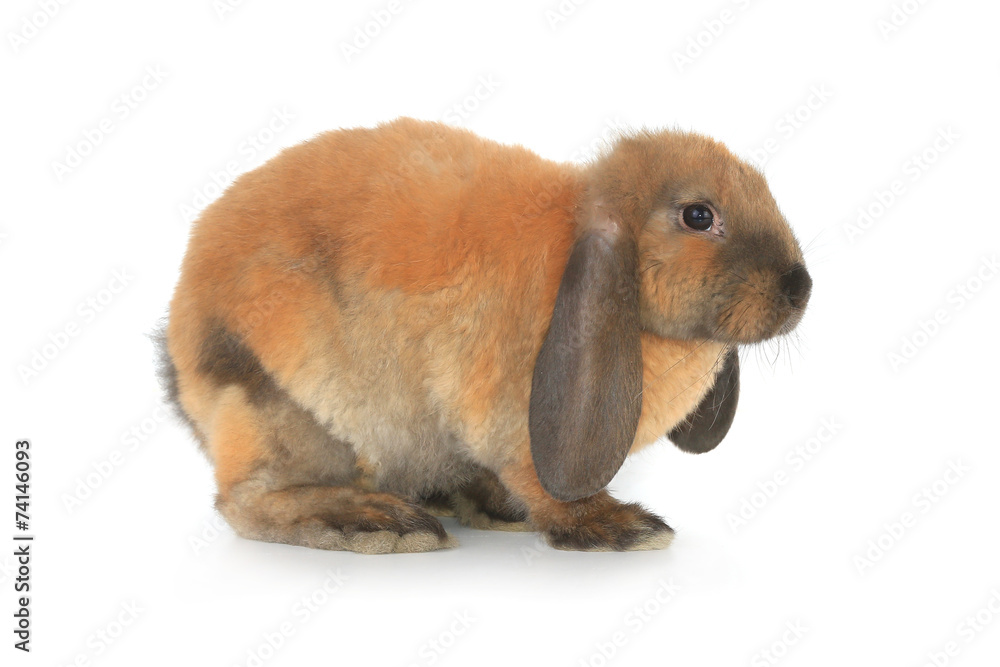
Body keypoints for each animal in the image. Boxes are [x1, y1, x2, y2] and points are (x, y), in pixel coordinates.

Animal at [158, 117, 811, 554]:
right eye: (698, 216)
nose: (800, 288)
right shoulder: (510, 425)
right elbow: (544, 488)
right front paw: (618, 526)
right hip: (282, 412)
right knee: (246, 501)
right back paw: (379, 522)